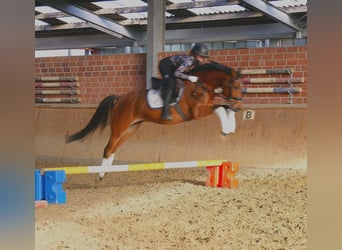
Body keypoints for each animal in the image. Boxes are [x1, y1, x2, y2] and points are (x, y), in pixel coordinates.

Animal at [66, 61, 243, 178]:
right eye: (236, 86)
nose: (239, 104)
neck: (201, 84)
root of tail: (120, 98)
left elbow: (225, 107)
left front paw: (230, 128)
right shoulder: (197, 112)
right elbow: (221, 108)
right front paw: (225, 131)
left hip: (130, 128)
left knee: (113, 149)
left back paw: (107, 172)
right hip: (119, 127)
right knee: (107, 148)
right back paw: (101, 174)